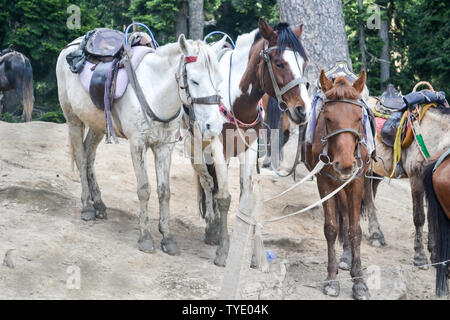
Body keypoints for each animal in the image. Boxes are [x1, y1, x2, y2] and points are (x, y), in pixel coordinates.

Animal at [56, 34, 225, 255]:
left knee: (89, 156)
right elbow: (144, 189)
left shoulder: (164, 147)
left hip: (98, 124)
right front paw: (145, 237)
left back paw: (99, 204)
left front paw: (167, 238)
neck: (155, 92)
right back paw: (87, 207)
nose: (214, 125)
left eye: (220, 80)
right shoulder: (137, 145)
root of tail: (70, 46)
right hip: (73, 120)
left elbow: (164, 192)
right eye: (195, 81)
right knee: (81, 158)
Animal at [304, 70, 370, 300]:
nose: (346, 164)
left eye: (359, 118)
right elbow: (331, 229)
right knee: (342, 212)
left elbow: (355, 230)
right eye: (328, 118)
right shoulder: (324, 181)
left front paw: (359, 282)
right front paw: (332, 278)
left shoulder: (356, 181)